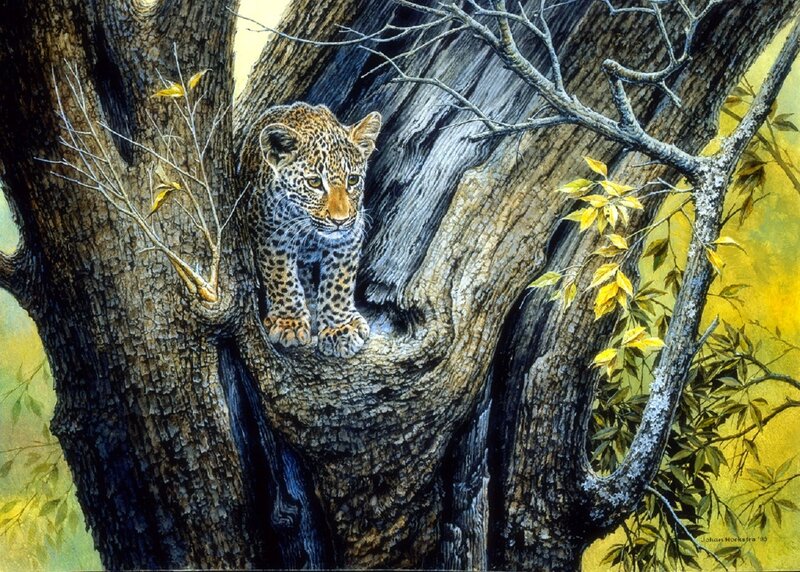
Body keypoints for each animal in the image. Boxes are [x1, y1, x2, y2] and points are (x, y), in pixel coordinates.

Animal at [239, 102, 381, 358]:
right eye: (314, 183)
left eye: (353, 180)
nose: (340, 220)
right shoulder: (269, 234)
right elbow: (281, 277)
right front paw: (289, 323)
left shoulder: (348, 237)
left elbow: (338, 282)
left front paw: (339, 328)